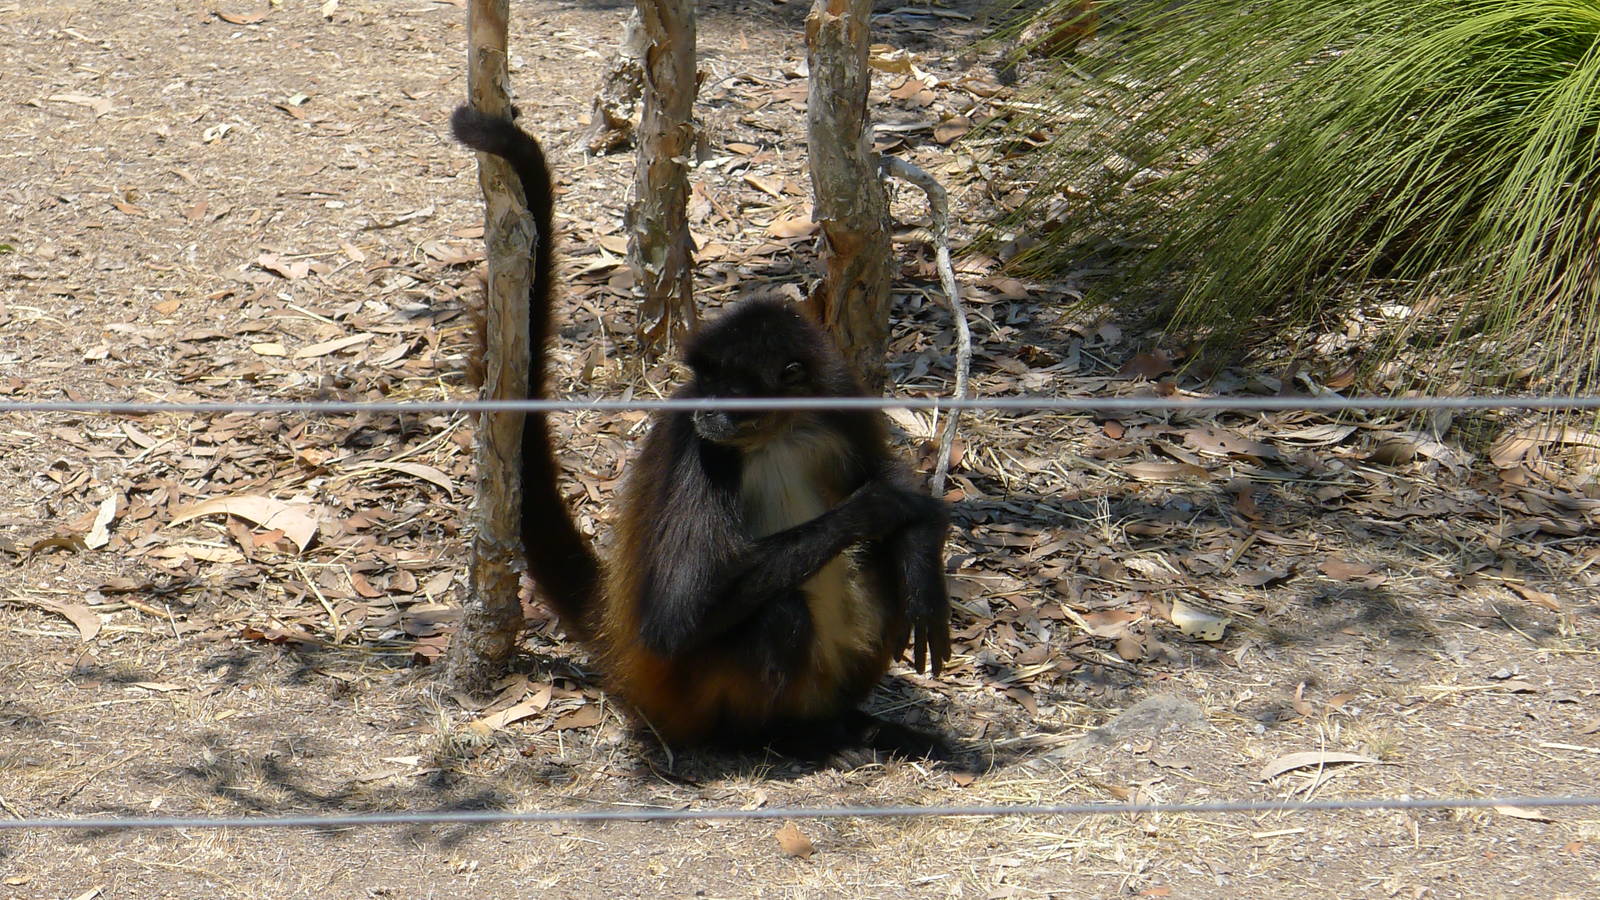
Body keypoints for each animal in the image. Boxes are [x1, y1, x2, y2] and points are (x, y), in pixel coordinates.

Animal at [450, 105, 953, 759]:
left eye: (730, 386)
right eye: (703, 379)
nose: (706, 411)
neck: (775, 432)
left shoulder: (837, 395)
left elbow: (895, 492)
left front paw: (924, 563)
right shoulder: (695, 444)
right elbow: (675, 616)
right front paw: (881, 506)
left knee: (878, 566)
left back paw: (853, 720)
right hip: (688, 696)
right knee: (780, 611)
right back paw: (781, 740)